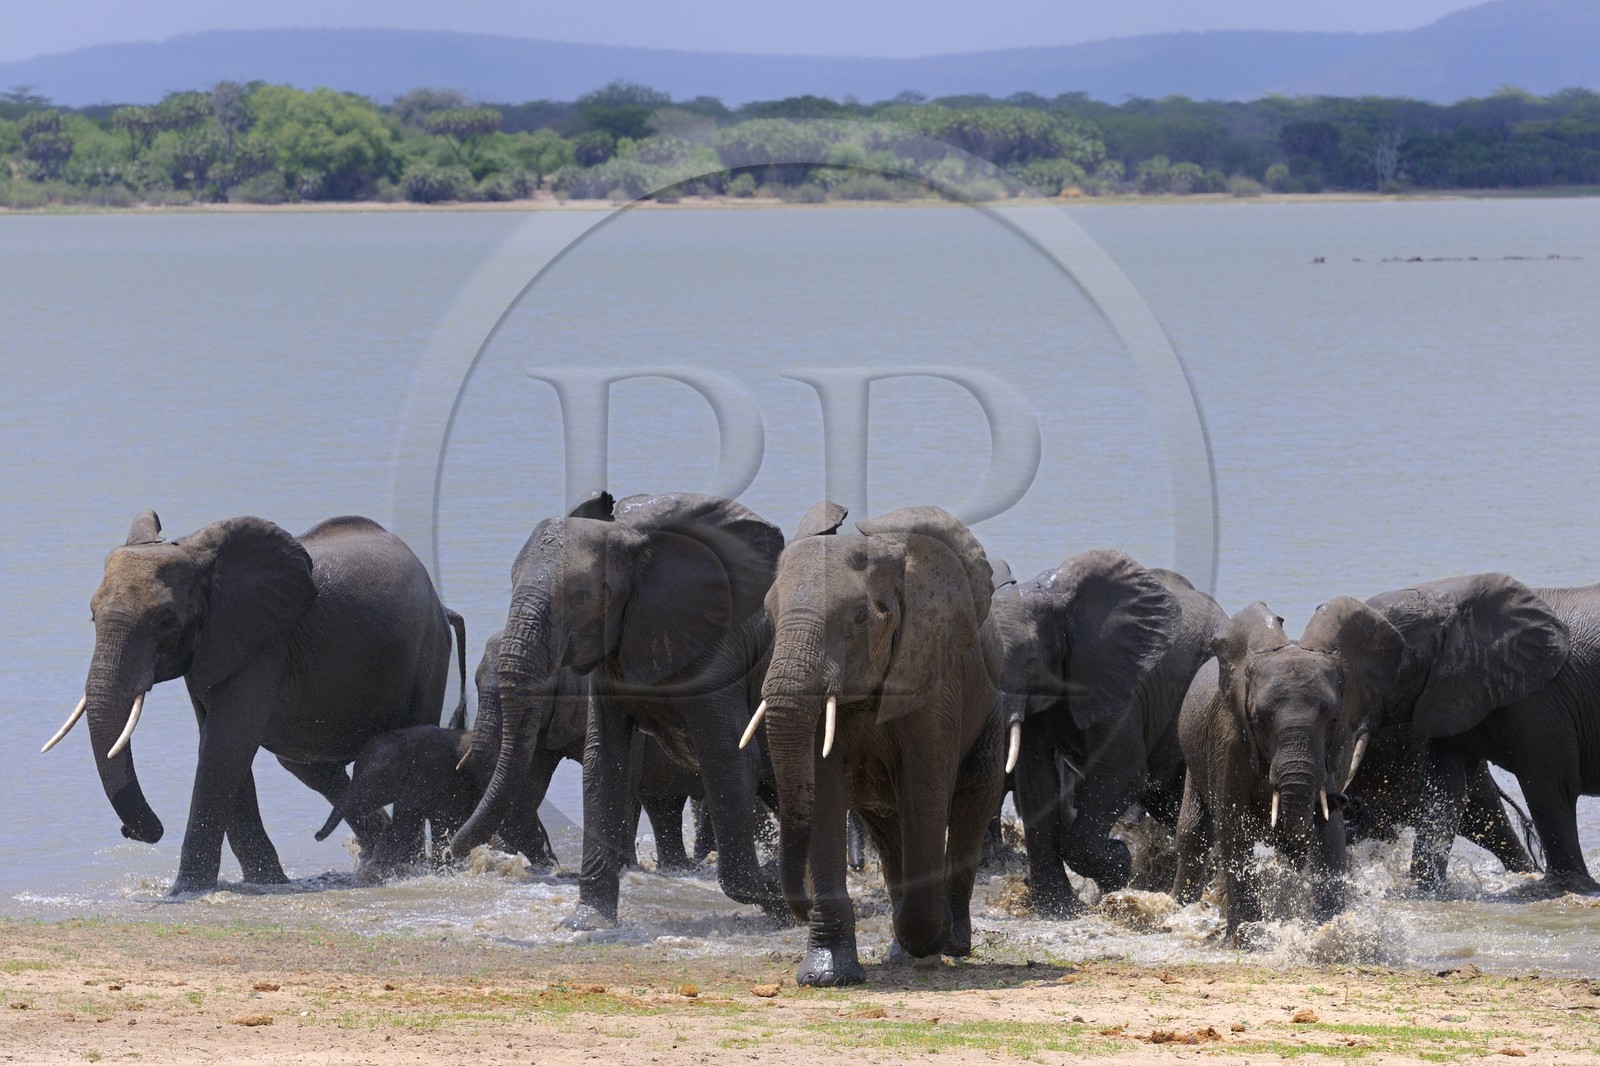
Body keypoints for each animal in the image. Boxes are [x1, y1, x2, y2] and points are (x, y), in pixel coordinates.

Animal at [44, 511, 465, 895]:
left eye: (165, 620)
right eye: (92, 616)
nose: (130, 831)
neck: (200, 559)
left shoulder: (262, 642)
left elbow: (224, 746)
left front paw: (186, 891)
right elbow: (220, 744)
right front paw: (266, 883)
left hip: (428, 651)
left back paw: (399, 868)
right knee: (308, 767)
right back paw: (374, 857)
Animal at [451, 491, 786, 928]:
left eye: (580, 597)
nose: (447, 850)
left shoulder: (719, 653)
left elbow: (729, 759)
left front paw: (775, 890)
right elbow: (602, 761)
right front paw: (588, 922)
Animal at [758, 502, 1004, 987]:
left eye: (859, 618)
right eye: (769, 616)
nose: (799, 907)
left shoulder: (933, 679)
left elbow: (925, 789)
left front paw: (929, 936)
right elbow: (824, 791)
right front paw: (827, 977)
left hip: (993, 713)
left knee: (971, 805)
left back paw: (949, 942)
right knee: (889, 831)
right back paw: (902, 950)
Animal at [989, 549, 1226, 916]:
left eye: (1029, 658)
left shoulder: (1119, 680)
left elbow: (1122, 772)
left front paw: (1118, 863)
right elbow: (1036, 780)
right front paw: (1058, 909)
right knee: (1168, 801)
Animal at [1172, 599, 1404, 942]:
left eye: (1333, 721)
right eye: (1259, 720)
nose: (1345, 800)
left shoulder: (1334, 752)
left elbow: (1330, 837)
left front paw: (1328, 934)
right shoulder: (1229, 741)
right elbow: (1232, 825)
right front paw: (1244, 939)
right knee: (1192, 834)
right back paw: (1175, 911)